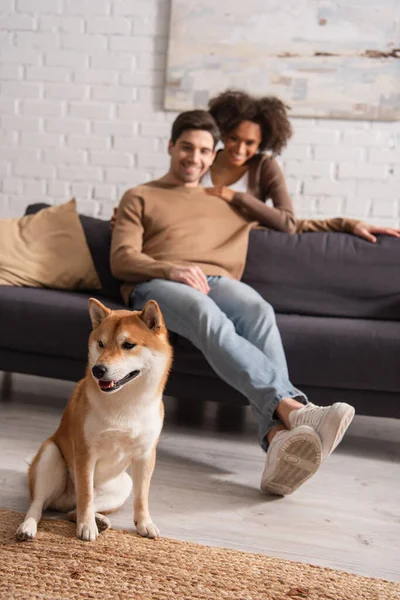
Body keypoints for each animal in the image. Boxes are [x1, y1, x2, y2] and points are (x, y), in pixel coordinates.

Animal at [16, 300, 172, 544]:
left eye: (128, 345)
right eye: (101, 343)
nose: (98, 369)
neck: (126, 403)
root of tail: (65, 500)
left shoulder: (145, 455)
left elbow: (142, 497)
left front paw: (144, 523)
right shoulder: (85, 452)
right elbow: (86, 495)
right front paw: (86, 526)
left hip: (123, 485)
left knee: (72, 511)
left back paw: (99, 520)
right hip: (51, 456)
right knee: (39, 505)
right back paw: (28, 527)